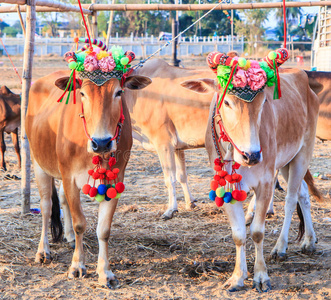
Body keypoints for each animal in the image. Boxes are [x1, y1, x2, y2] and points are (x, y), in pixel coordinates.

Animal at [27, 69, 152, 288]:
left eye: (119, 92)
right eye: (83, 94)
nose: (101, 143)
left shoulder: (115, 180)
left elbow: (104, 229)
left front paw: (105, 272)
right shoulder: (70, 177)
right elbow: (80, 224)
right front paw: (77, 266)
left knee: (61, 199)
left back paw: (68, 237)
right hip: (38, 163)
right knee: (46, 207)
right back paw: (43, 251)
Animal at [183, 68, 320, 290]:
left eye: (263, 102)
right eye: (227, 102)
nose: (252, 155)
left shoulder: (265, 182)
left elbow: (256, 232)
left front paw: (261, 276)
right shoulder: (225, 187)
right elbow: (238, 234)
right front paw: (238, 277)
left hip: (303, 153)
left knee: (291, 199)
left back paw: (281, 247)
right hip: (286, 162)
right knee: (303, 194)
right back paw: (309, 240)